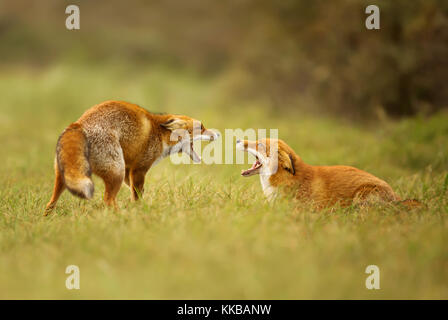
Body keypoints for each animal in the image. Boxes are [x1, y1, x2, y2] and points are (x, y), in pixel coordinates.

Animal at [45, 100, 219, 215]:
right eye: (201, 127)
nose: (218, 134)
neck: (160, 134)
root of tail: (79, 124)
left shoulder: (129, 170)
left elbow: (136, 192)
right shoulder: (139, 169)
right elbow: (137, 194)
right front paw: (140, 211)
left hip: (65, 176)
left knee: (50, 202)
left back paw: (47, 217)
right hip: (116, 171)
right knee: (108, 200)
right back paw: (121, 217)